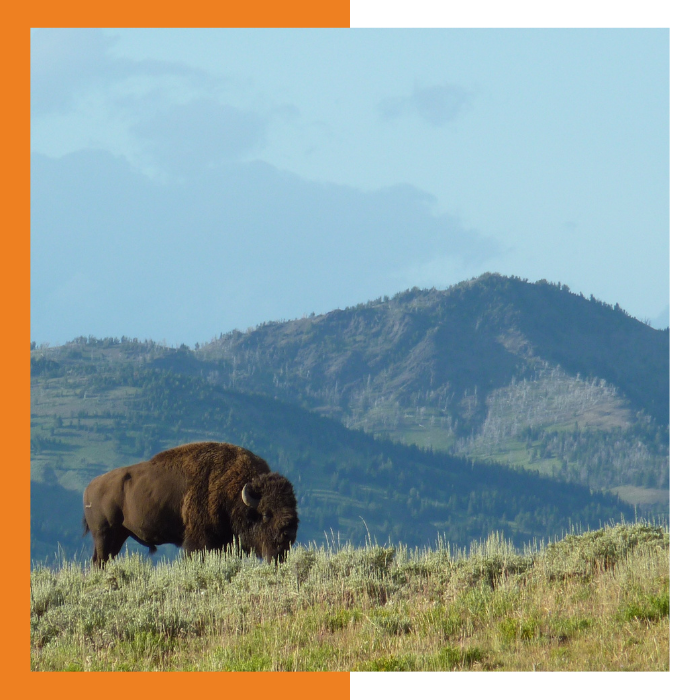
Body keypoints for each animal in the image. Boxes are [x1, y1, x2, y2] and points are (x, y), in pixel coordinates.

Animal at [82, 446, 298, 568]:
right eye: (266, 514)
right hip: (104, 534)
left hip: (119, 535)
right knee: (99, 561)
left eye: (293, 507)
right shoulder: (199, 541)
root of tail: (90, 487)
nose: (289, 532)